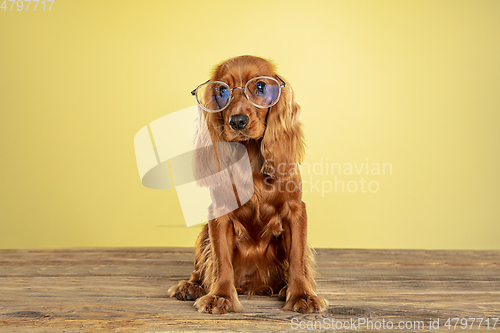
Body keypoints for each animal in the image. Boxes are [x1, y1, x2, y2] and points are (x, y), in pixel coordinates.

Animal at [168, 55, 328, 314]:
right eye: (222, 91)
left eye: (260, 87)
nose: (238, 121)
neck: (251, 158)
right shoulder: (219, 212)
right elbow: (221, 260)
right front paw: (220, 296)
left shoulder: (295, 209)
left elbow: (297, 257)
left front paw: (302, 295)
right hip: (203, 233)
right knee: (202, 267)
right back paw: (191, 286)